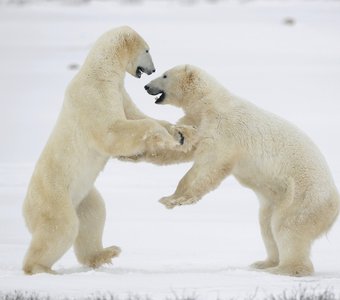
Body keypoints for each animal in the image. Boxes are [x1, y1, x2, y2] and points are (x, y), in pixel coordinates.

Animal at [21, 27, 191, 276]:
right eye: (147, 50)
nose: (153, 69)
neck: (101, 72)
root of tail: (25, 211)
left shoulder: (119, 92)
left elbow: (135, 115)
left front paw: (182, 133)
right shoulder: (94, 94)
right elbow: (113, 131)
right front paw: (166, 137)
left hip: (83, 196)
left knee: (93, 214)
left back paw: (105, 253)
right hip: (54, 197)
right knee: (60, 228)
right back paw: (41, 268)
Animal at [131, 65, 340, 276]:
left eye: (165, 75)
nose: (146, 86)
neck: (209, 103)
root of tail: (334, 205)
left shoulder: (224, 129)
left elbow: (212, 165)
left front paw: (179, 199)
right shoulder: (199, 123)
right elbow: (183, 148)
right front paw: (140, 153)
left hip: (303, 197)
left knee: (287, 227)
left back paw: (283, 269)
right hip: (276, 199)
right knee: (266, 225)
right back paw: (264, 263)